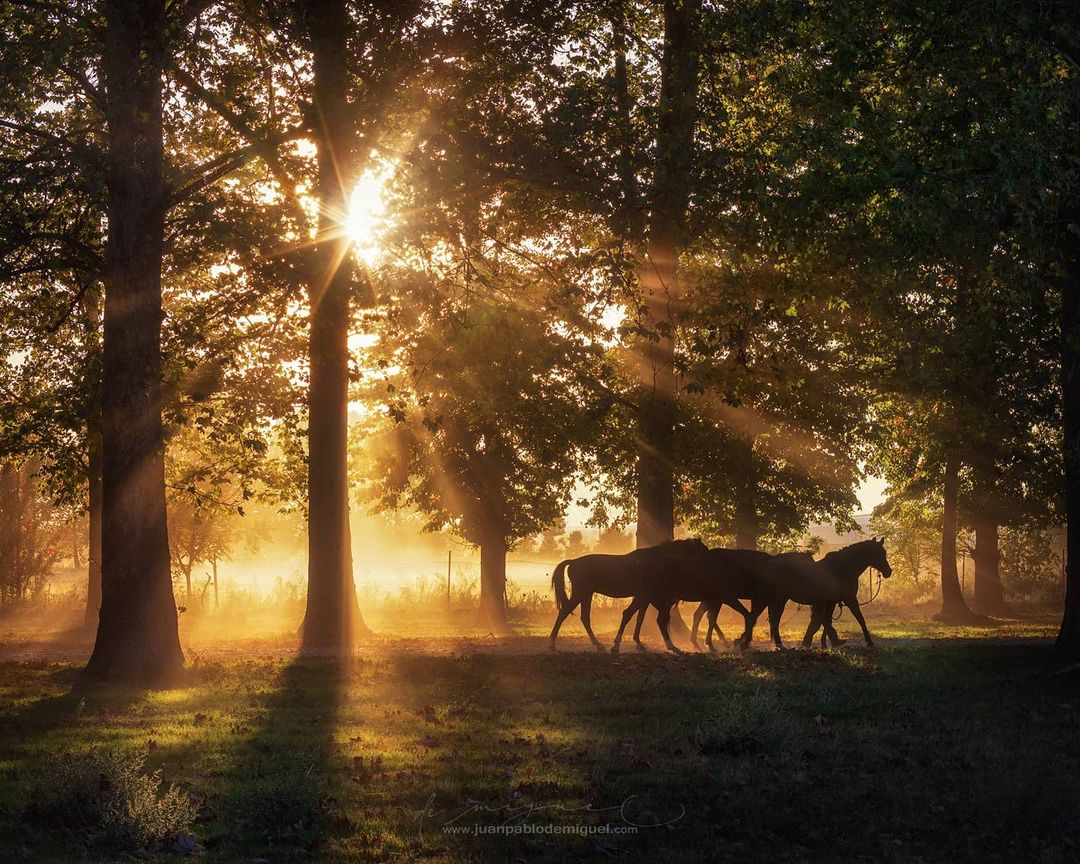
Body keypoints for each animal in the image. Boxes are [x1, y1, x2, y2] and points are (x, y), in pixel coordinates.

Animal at [548, 535, 708, 652]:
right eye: (703, 551)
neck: (656, 561)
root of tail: (573, 562)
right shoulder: (643, 596)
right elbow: (631, 616)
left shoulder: (644, 598)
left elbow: (639, 619)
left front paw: (638, 643)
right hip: (581, 593)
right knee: (564, 612)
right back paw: (552, 643)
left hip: (587, 595)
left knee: (585, 618)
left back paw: (598, 644)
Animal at [734, 535, 894, 652]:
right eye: (880, 553)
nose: (888, 572)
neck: (841, 568)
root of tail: (768, 564)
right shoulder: (849, 599)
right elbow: (859, 619)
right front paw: (869, 642)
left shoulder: (831, 601)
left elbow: (823, 620)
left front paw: (824, 642)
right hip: (771, 600)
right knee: (760, 619)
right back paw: (749, 643)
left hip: (777, 600)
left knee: (770, 620)